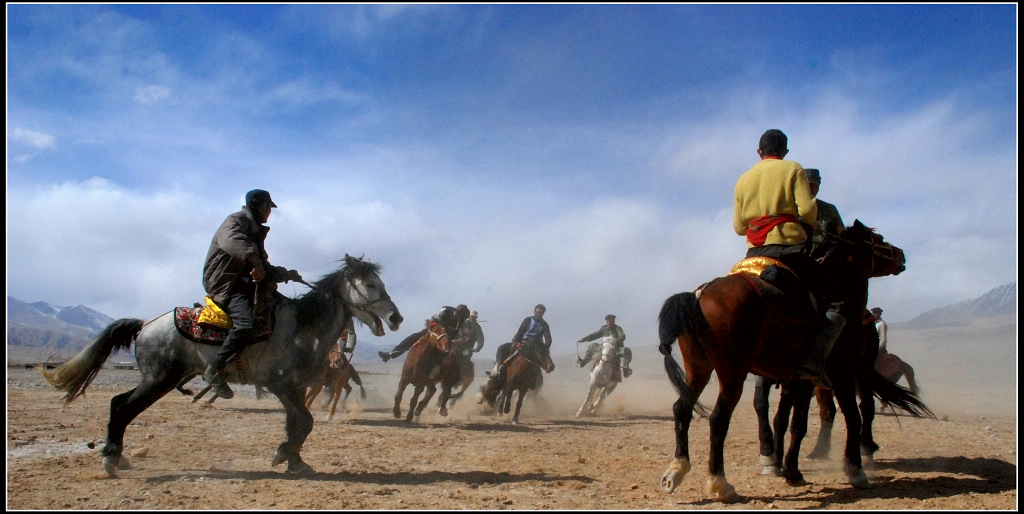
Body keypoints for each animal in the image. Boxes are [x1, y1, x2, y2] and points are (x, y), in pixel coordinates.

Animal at [44, 254, 403, 475]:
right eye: (371, 285)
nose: (396, 318)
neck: (303, 328)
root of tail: (146, 325)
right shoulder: (280, 385)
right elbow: (306, 421)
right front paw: (283, 454)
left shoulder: (297, 389)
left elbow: (297, 424)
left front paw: (294, 461)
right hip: (160, 378)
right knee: (121, 406)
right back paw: (111, 459)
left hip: (161, 378)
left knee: (121, 405)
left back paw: (118, 457)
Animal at [659, 221, 933, 501]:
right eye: (877, 239)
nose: (901, 256)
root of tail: (697, 296)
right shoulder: (840, 373)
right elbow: (843, 417)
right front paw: (853, 470)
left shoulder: (798, 379)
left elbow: (790, 421)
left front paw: (787, 467)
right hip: (735, 372)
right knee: (719, 419)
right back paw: (720, 483)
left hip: (699, 369)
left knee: (682, 409)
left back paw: (676, 471)